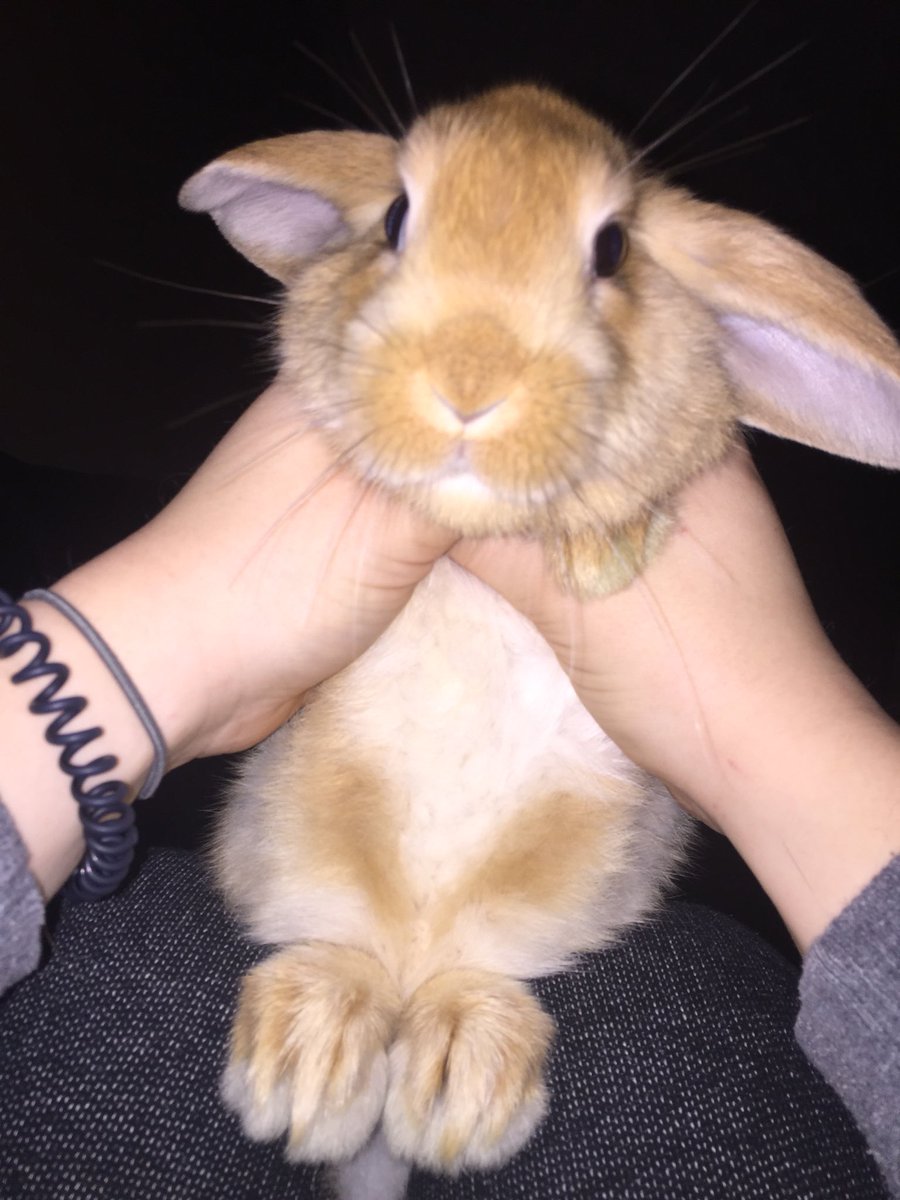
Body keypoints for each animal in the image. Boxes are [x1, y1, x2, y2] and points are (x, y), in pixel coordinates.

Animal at [180, 84, 900, 1198]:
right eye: (395, 219)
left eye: (612, 248)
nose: (468, 380)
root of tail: (413, 956)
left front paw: (604, 552)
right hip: (302, 827)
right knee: (347, 946)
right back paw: (310, 1064)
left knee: (469, 971)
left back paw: (455, 1084)